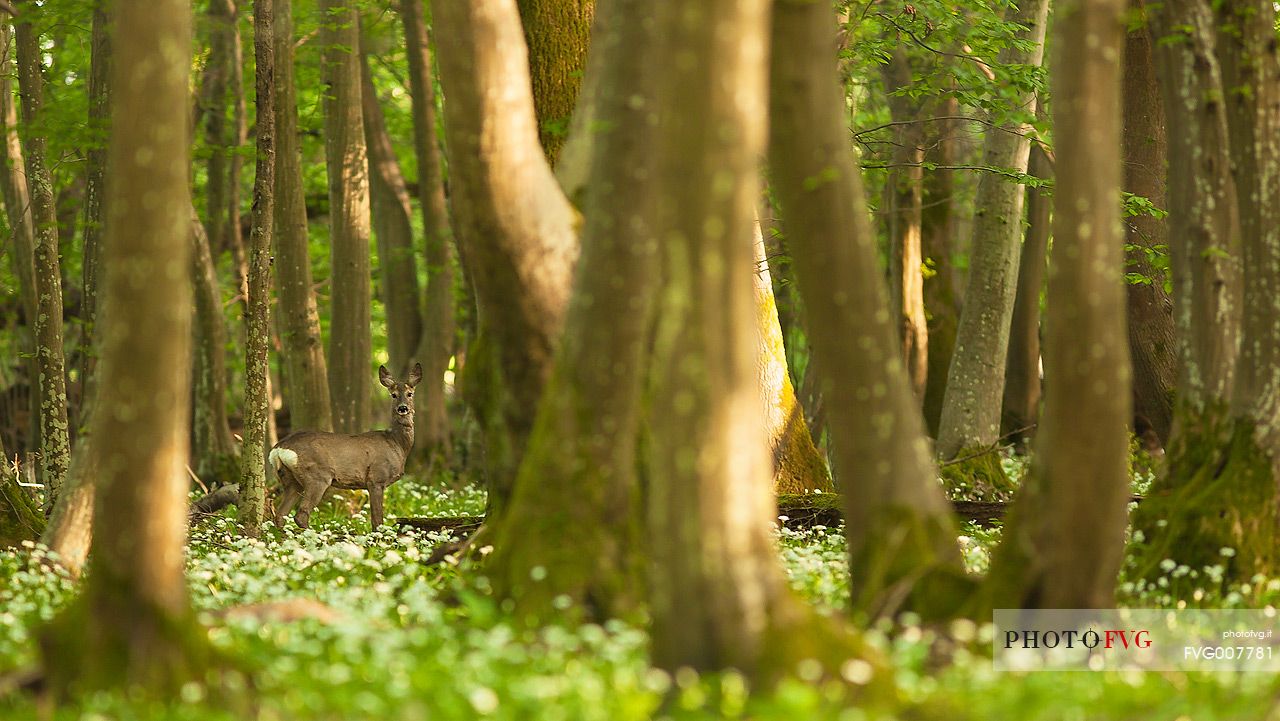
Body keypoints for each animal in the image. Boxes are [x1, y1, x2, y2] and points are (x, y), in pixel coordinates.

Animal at [267, 363, 422, 527]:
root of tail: (278, 449)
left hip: (290, 479)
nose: (403, 408)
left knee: (280, 514)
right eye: (393, 394)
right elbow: (377, 521)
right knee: (300, 514)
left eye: (410, 393)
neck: (396, 443)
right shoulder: (376, 478)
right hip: (317, 475)